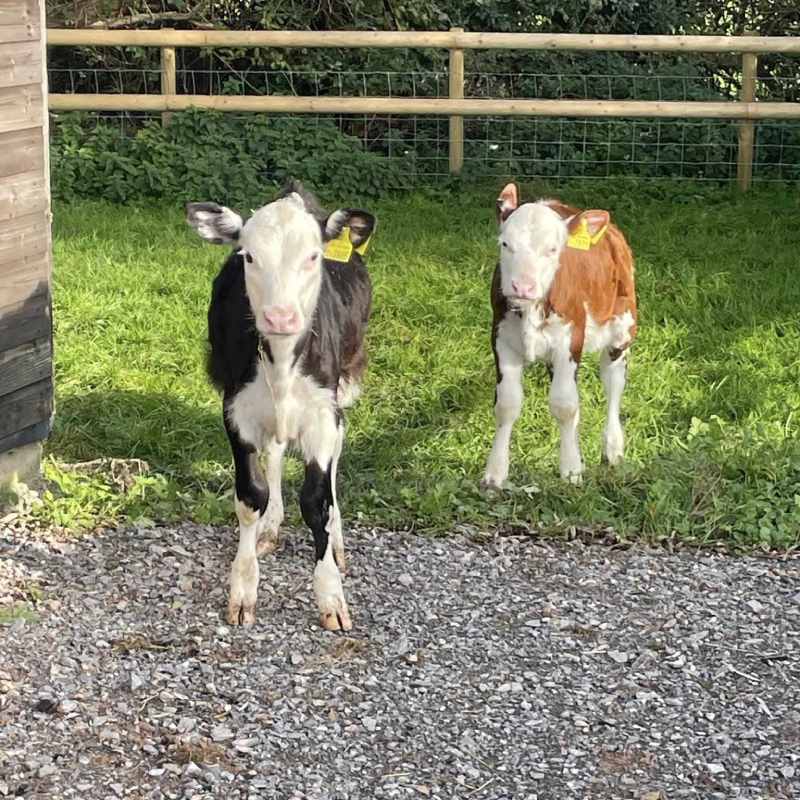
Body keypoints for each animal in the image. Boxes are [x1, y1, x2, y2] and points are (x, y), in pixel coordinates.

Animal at [187, 181, 376, 632]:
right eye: (248, 256)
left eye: (313, 256)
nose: (280, 316)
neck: (283, 360)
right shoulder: (236, 410)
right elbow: (250, 497)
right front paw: (243, 589)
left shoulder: (322, 414)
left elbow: (317, 502)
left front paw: (330, 595)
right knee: (274, 451)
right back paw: (271, 525)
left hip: (344, 383)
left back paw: (337, 541)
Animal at [482, 182, 636, 488]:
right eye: (505, 244)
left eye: (552, 250)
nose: (523, 286)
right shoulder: (501, 338)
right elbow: (507, 403)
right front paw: (495, 473)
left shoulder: (570, 339)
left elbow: (564, 405)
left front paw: (571, 470)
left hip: (622, 327)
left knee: (613, 381)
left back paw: (612, 447)